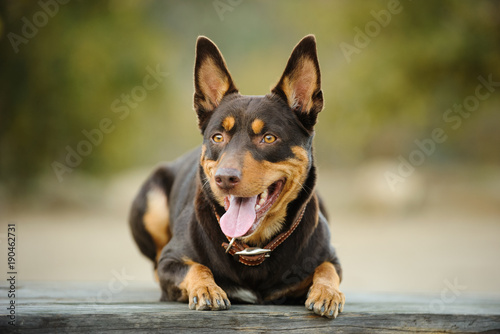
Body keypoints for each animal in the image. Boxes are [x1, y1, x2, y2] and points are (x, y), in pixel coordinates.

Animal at [129, 34, 346, 318]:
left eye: (269, 138)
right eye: (217, 137)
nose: (224, 178)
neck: (253, 246)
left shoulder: (331, 258)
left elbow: (327, 269)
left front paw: (327, 293)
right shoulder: (170, 261)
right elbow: (196, 267)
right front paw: (207, 289)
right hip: (151, 202)